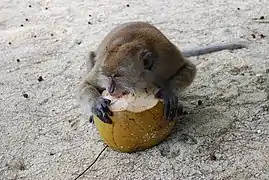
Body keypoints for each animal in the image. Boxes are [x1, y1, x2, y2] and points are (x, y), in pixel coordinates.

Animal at [76, 21, 246, 124]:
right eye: (107, 76)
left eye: (118, 76)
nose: (110, 90)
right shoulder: (100, 65)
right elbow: (87, 83)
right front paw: (97, 103)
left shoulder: (166, 59)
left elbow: (189, 68)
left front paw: (169, 92)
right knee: (90, 55)